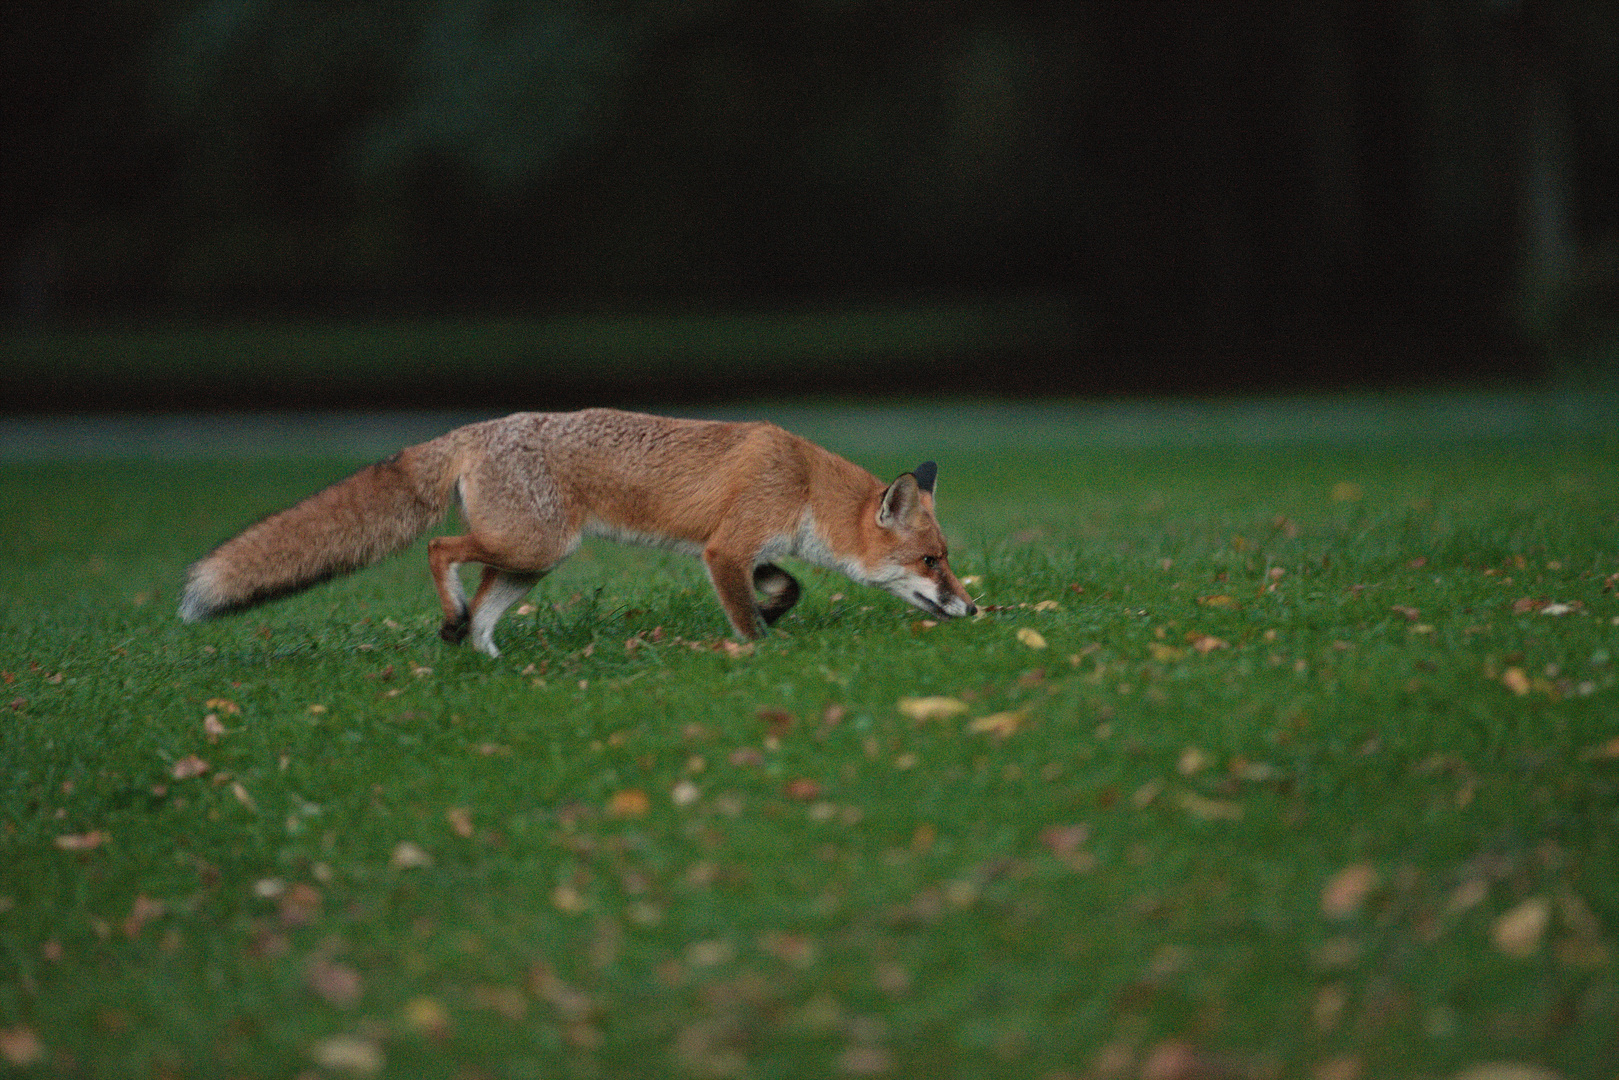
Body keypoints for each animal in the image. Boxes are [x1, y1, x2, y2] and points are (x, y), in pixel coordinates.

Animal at [183, 408, 977, 654]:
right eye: (931, 561)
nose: (973, 608)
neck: (804, 484)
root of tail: (475, 429)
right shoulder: (725, 546)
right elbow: (751, 616)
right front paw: (762, 650)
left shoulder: (738, 548)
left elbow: (782, 586)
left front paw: (777, 609)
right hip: (534, 545)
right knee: (441, 549)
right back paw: (450, 621)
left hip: (532, 561)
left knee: (484, 608)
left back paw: (486, 654)